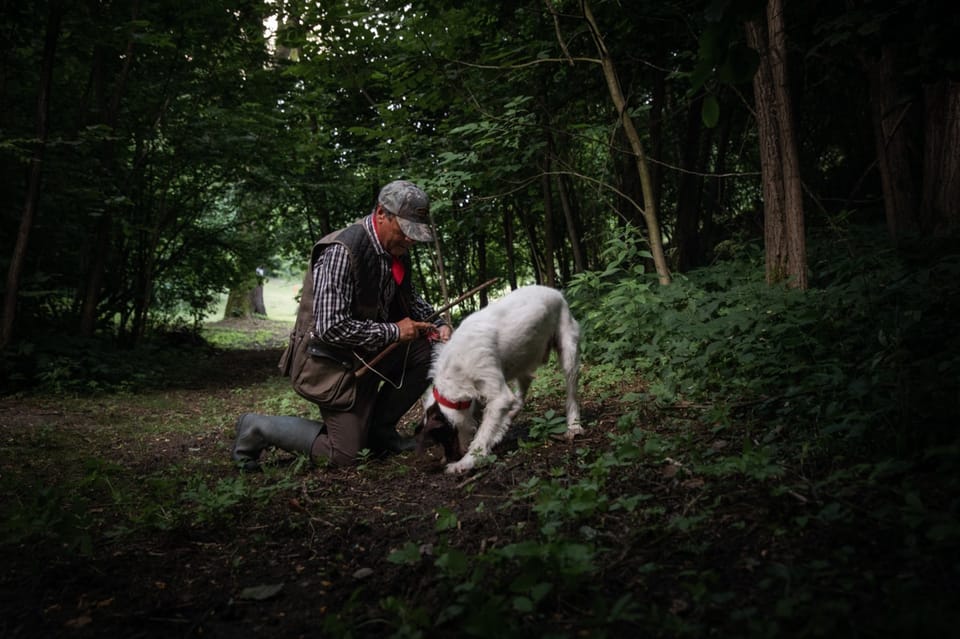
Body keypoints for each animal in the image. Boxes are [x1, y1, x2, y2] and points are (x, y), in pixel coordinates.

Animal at [418, 284, 584, 476]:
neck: (455, 368)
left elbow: (483, 434)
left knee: (571, 394)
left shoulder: (498, 395)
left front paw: (466, 462)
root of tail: (556, 292)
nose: (450, 457)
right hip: (522, 361)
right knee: (521, 394)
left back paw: (574, 426)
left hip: (568, 353)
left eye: (444, 435)